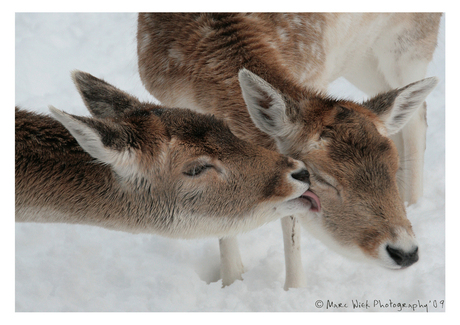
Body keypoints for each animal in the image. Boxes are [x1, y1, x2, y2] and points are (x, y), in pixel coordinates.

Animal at [137, 12, 442, 288]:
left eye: (393, 166)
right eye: (323, 179)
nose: (405, 252)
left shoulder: (316, 71)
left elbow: (291, 219)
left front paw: (294, 290)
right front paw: (230, 281)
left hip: (412, 42)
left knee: (418, 116)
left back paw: (413, 202)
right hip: (364, 59)